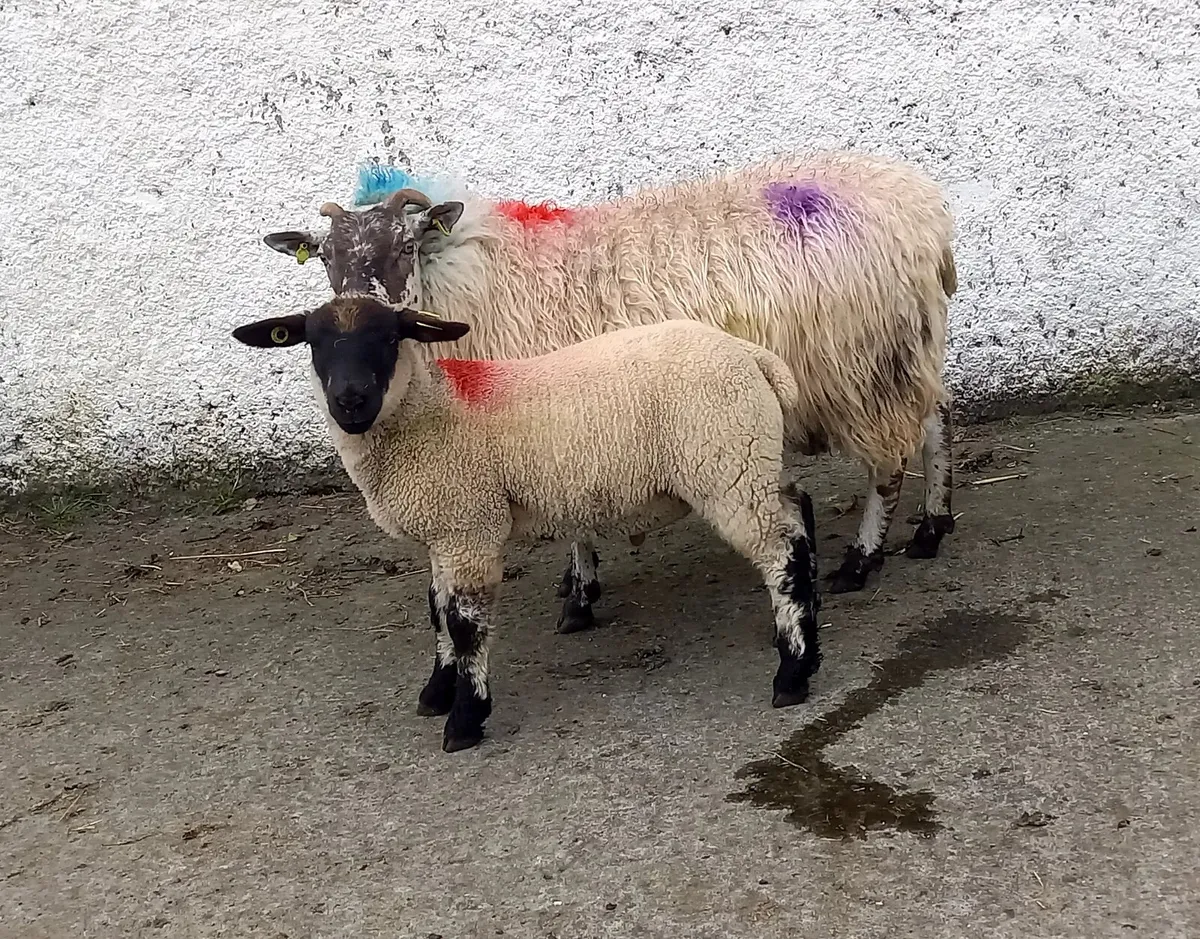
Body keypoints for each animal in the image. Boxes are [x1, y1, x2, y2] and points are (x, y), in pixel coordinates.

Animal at [230, 299, 823, 753]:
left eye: (390, 338)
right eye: (314, 342)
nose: (350, 400)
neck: (430, 411)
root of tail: (753, 357)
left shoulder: (467, 526)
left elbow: (463, 625)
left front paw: (465, 719)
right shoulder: (444, 535)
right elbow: (436, 612)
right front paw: (438, 691)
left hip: (727, 466)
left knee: (781, 555)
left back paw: (792, 674)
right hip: (751, 462)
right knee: (798, 512)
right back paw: (808, 636)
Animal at [261, 151, 957, 633]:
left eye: (405, 245)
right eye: (325, 258)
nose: (356, 312)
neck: (472, 283)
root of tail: (919, 204)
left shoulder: (547, 416)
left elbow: (573, 519)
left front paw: (580, 594)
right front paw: (579, 588)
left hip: (864, 364)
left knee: (888, 463)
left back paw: (863, 559)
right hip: (906, 343)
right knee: (936, 417)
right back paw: (932, 527)